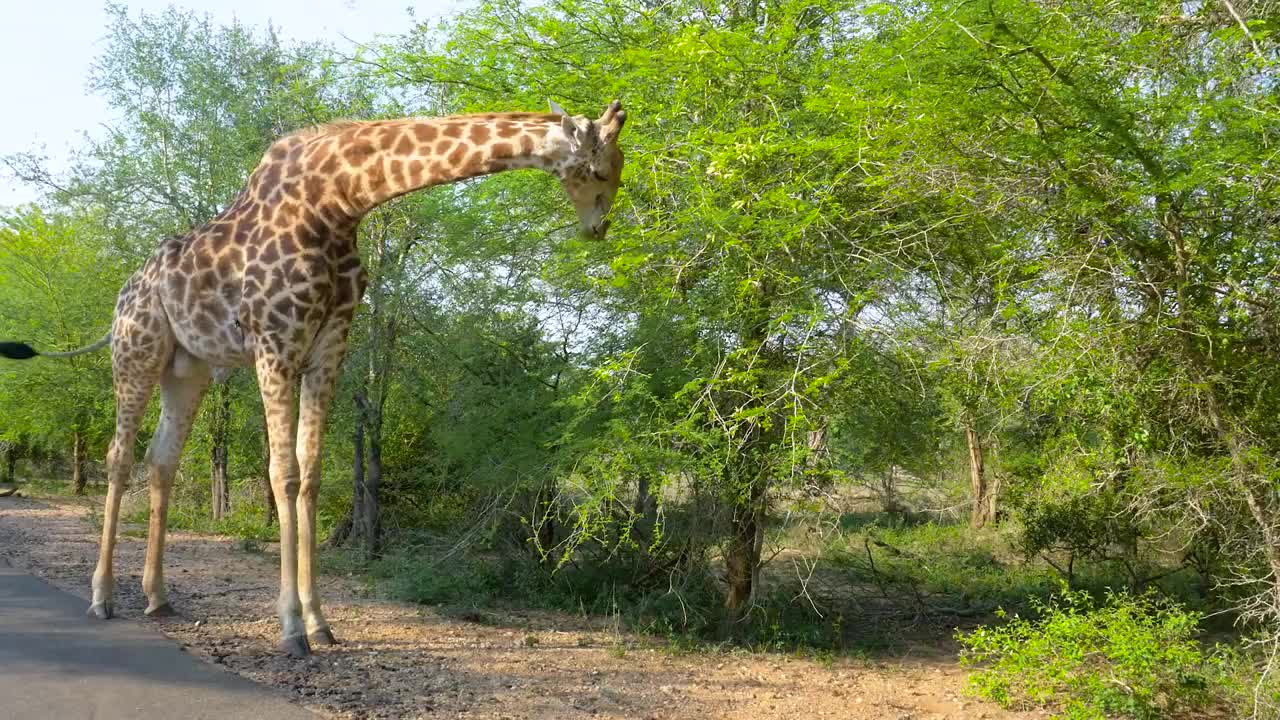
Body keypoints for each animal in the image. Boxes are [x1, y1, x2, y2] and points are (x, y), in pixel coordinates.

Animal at [0, 98, 629, 653]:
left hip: (189, 369)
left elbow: (313, 473)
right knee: (118, 456)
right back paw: (102, 597)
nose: (599, 227)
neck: (339, 200)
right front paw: (290, 628)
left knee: (162, 460)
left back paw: (157, 597)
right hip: (137, 353)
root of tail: (122, 296)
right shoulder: (275, 342)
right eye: (602, 169)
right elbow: (283, 474)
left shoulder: (330, 344)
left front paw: (321, 622)